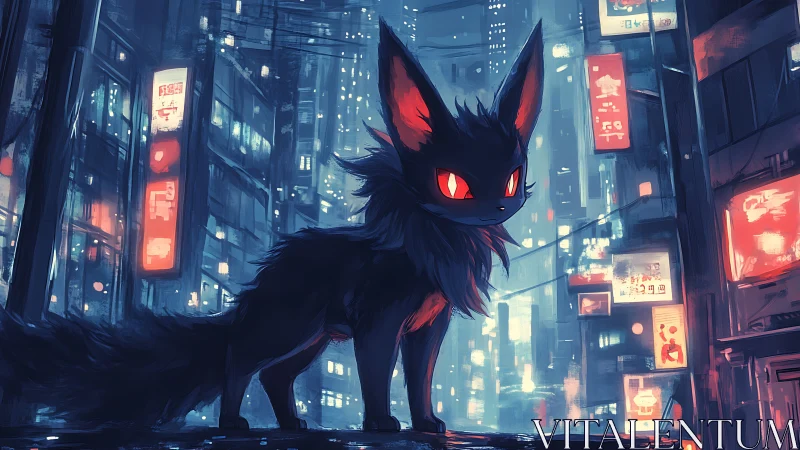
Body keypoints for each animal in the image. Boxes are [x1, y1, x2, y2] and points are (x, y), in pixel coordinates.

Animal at [0, 19, 544, 433]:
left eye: (512, 177)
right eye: (453, 184)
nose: (497, 207)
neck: (432, 243)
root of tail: (263, 276)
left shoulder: (427, 327)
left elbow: (420, 380)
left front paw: (427, 422)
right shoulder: (379, 322)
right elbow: (375, 376)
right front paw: (380, 424)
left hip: (313, 337)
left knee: (275, 377)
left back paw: (290, 423)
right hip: (289, 328)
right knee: (238, 358)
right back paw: (231, 422)